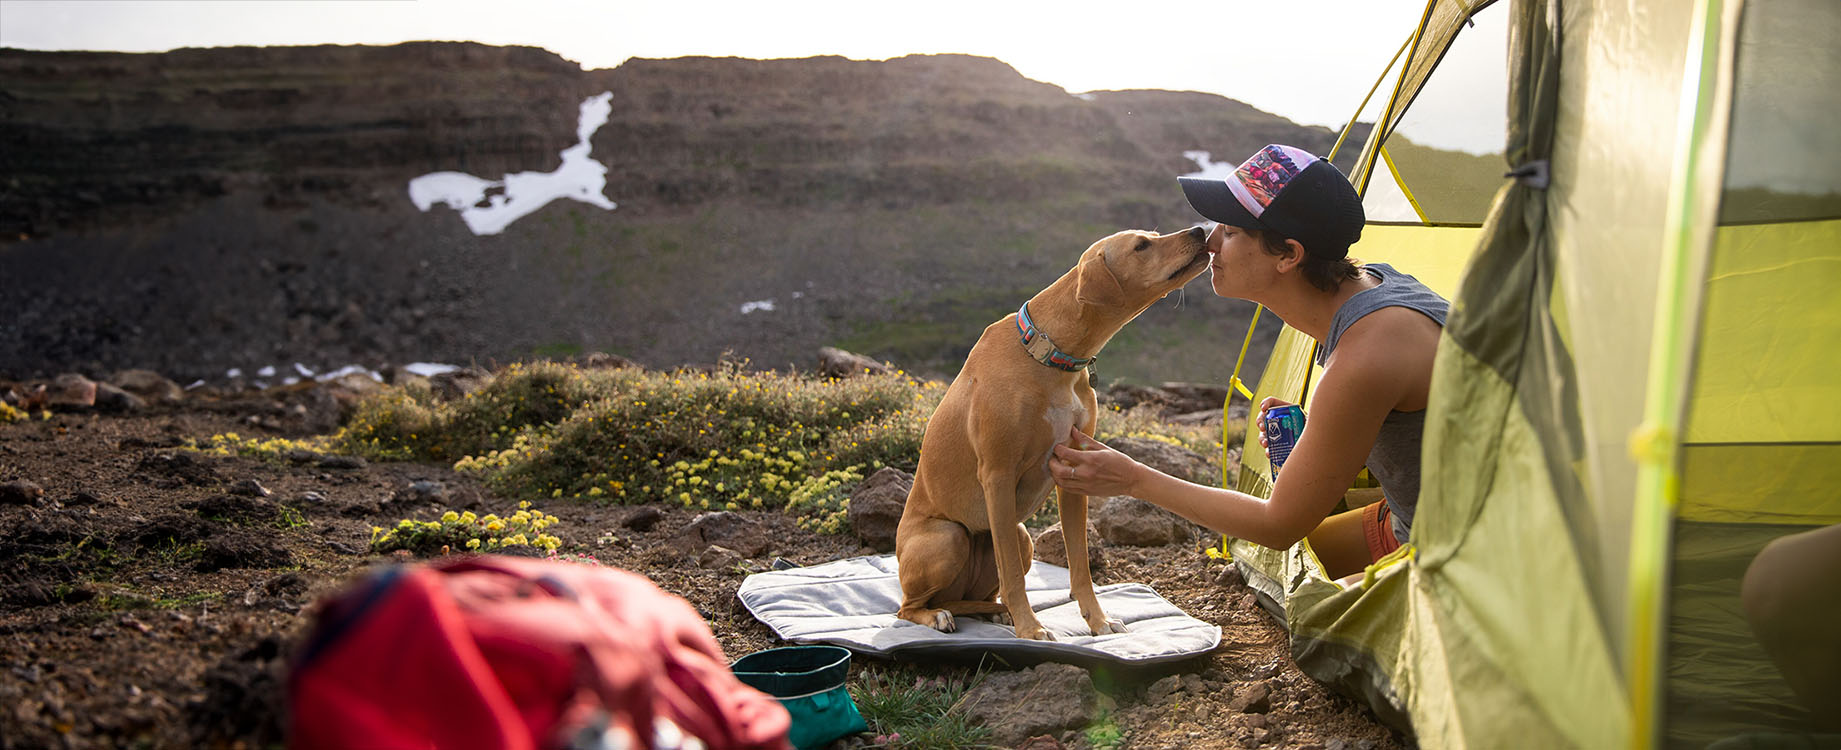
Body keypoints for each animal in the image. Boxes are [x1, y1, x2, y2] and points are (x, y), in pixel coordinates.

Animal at [898, 229, 1215, 641]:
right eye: (1141, 245)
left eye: (1155, 236)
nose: (1199, 231)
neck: (1050, 354)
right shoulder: (997, 474)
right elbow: (1013, 576)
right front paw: (1031, 627)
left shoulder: (1074, 469)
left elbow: (1080, 566)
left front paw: (1097, 620)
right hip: (948, 537)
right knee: (909, 606)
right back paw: (939, 616)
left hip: (1020, 536)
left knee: (974, 595)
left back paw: (993, 613)